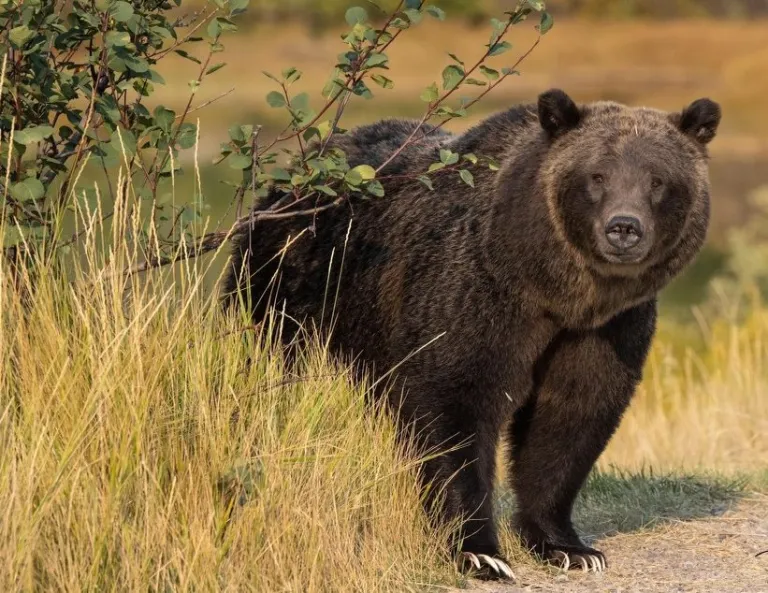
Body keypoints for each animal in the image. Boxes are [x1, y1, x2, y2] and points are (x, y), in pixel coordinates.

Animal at [222, 88, 720, 580]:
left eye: (657, 180)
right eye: (597, 175)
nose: (623, 228)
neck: (555, 290)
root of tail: (292, 174)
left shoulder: (606, 329)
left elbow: (570, 417)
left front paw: (569, 547)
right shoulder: (474, 294)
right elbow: (454, 404)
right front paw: (480, 552)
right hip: (290, 285)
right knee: (268, 373)